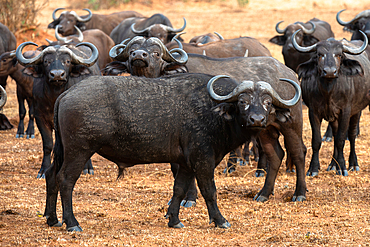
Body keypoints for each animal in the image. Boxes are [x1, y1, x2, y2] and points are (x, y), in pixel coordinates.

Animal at [15, 41, 99, 178]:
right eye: (46, 61)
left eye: (67, 61)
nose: (57, 75)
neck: (54, 97)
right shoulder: (40, 118)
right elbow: (48, 145)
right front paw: (44, 170)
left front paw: (86, 168)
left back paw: (87, 167)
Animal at [292, 29, 370, 176]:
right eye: (319, 55)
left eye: (339, 55)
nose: (329, 72)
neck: (329, 92)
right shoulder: (313, 112)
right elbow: (317, 141)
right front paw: (313, 169)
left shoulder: (346, 111)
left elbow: (341, 140)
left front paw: (343, 167)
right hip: (334, 118)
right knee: (334, 134)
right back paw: (333, 164)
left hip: (357, 111)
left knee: (351, 136)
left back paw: (353, 164)